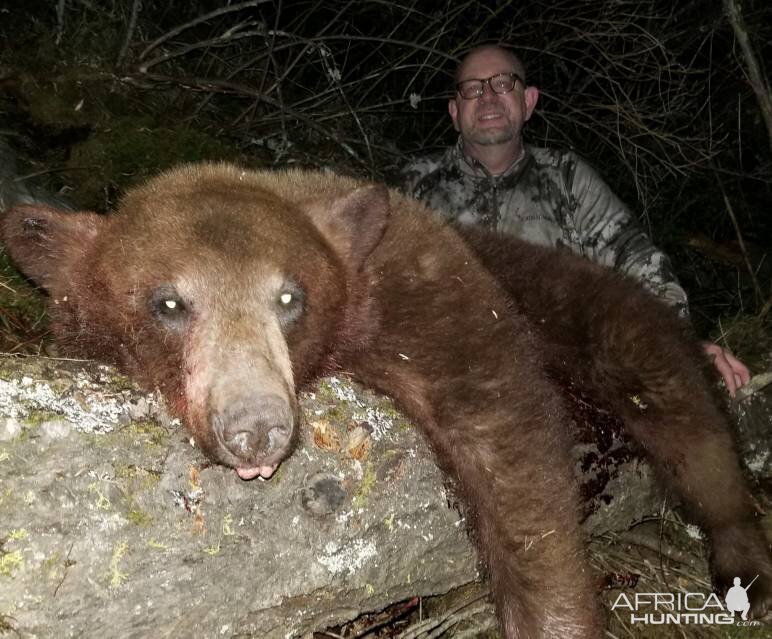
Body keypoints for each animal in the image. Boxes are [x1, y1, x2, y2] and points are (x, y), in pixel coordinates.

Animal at [0, 162, 768, 636]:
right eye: (168, 301)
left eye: (289, 298)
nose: (256, 426)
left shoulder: (431, 290)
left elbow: (511, 452)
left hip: (604, 316)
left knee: (682, 415)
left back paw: (741, 558)